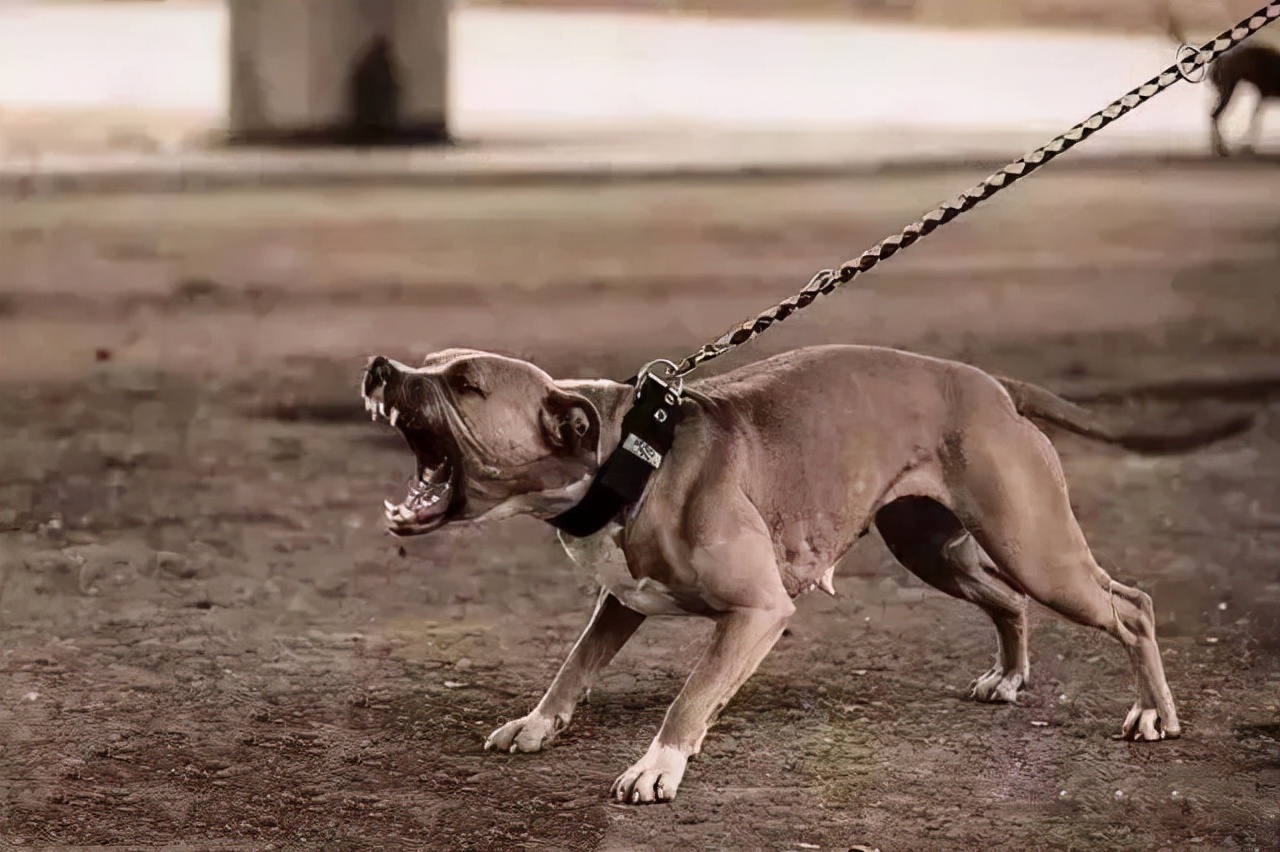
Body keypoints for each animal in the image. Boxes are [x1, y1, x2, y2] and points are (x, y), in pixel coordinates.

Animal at [360, 345, 1249, 803]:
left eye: (465, 383)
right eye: (430, 360)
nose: (378, 366)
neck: (625, 449)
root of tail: (992, 385)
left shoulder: (757, 611)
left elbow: (691, 697)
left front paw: (658, 765)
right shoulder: (622, 599)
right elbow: (574, 665)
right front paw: (539, 724)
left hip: (1037, 547)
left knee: (1130, 605)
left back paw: (1153, 714)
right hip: (936, 549)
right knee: (1006, 602)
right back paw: (1008, 676)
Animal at [1172, 4, 1280, 155]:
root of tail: (1218, 59)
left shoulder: (1262, 96)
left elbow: (1255, 120)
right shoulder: (1262, 95)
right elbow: (1255, 122)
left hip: (1224, 90)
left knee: (1212, 114)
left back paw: (1218, 148)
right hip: (1227, 89)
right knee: (1214, 115)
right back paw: (1222, 149)